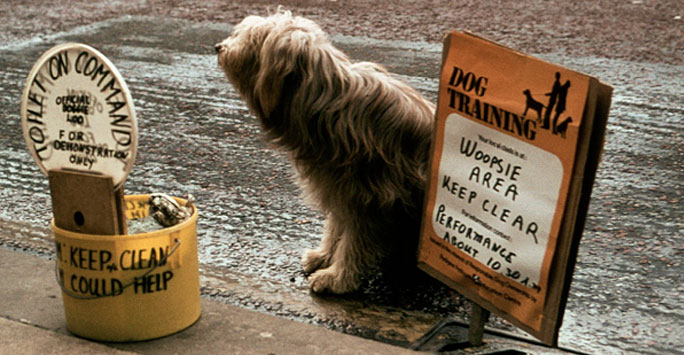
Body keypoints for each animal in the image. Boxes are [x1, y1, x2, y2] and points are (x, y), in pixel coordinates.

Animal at [216, 10, 436, 294]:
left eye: (252, 38)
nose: (219, 47)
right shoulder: (338, 188)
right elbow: (335, 227)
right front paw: (324, 257)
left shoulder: (370, 199)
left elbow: (354, 242)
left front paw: (337, 278)